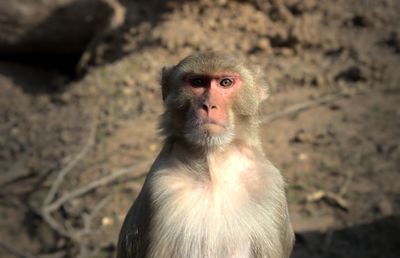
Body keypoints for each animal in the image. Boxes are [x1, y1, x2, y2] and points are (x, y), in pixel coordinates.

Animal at [116, 52, 294, 258]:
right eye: (198, 82)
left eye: (225, 82)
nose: (208, 105)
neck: (213, 171)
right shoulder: (160, 189)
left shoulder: (269, 186)